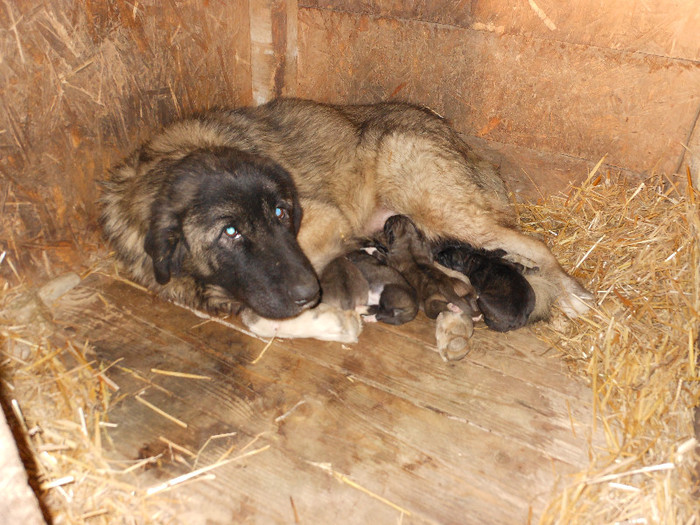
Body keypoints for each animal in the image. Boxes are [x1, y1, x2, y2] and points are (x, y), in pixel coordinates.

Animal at [100, 97, 592, 346]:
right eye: (230, 232)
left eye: (281, 214)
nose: (307, 294)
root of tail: (453, 134)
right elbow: (258, 313)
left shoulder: (322, 225)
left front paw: (335, 319)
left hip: (443, 208)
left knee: (535, 246)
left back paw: (573, 297)